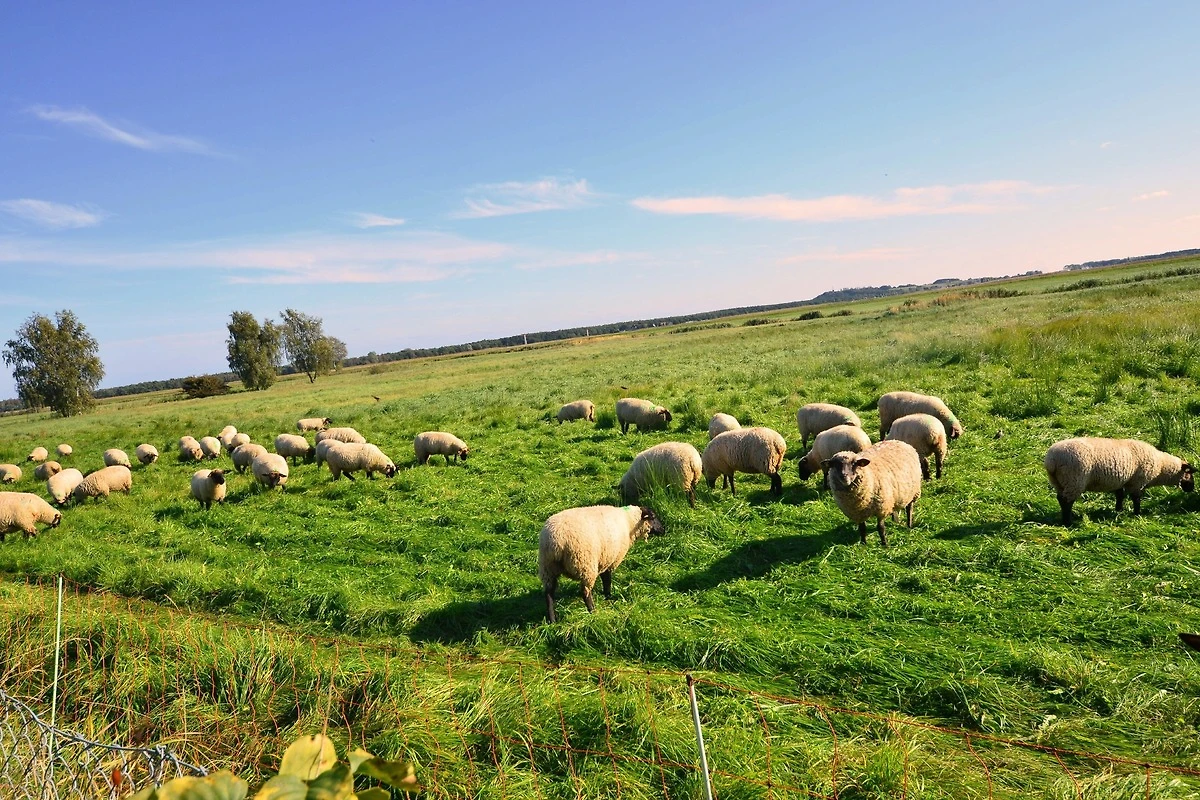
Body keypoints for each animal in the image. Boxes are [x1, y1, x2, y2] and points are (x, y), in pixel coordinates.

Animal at [1043, 437, 1195, 525]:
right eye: (1189, 474)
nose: (1192, 489)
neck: (1161, 466)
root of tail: (1052, 460)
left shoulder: (1122, 480)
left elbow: (1120, 495)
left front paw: (1119, 509)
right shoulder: (1137, 482)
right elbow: (1136, 499)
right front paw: (1137, 513)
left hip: (1059, 482)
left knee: (1060, 499)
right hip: (1074, 480)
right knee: (1066, 501)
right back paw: (1068, 521)